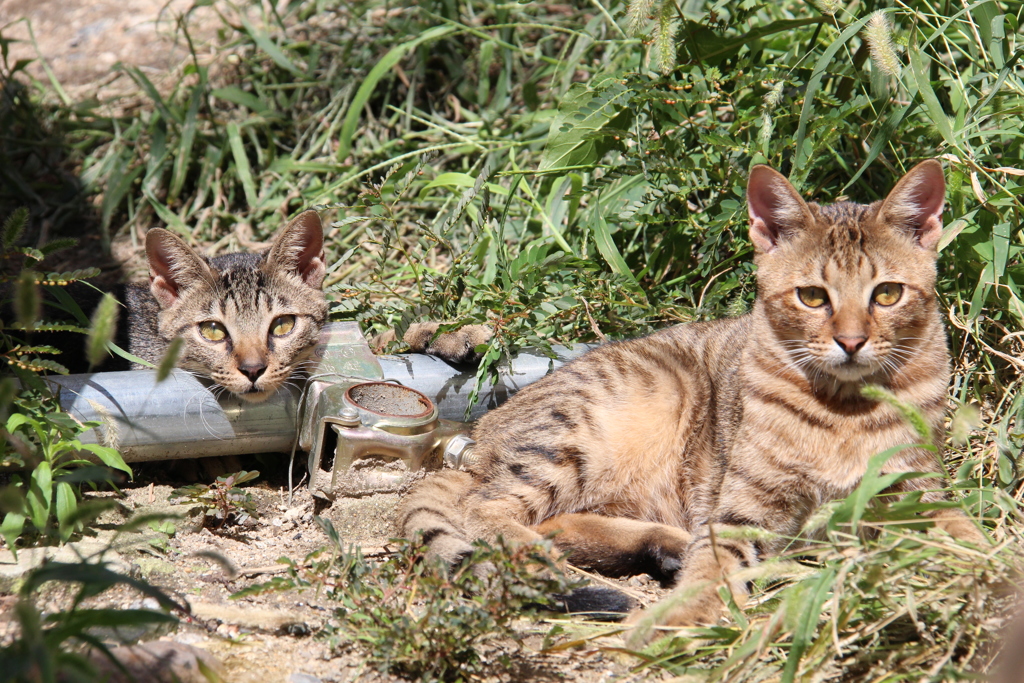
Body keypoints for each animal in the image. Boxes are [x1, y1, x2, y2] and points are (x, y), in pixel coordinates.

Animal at [397, 160, 983, 634]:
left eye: (887, 294)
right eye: (813, 297)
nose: (852, 341)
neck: (845, 404)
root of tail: (480, 436)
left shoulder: (917, 490)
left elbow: (965, 529)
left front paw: (984, 562)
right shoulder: (743, 508)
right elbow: (714, 569)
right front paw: (678, 619)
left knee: (556, 521)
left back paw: (662, 549)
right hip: (586, 428)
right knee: (487, 511)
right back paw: (557, 565)